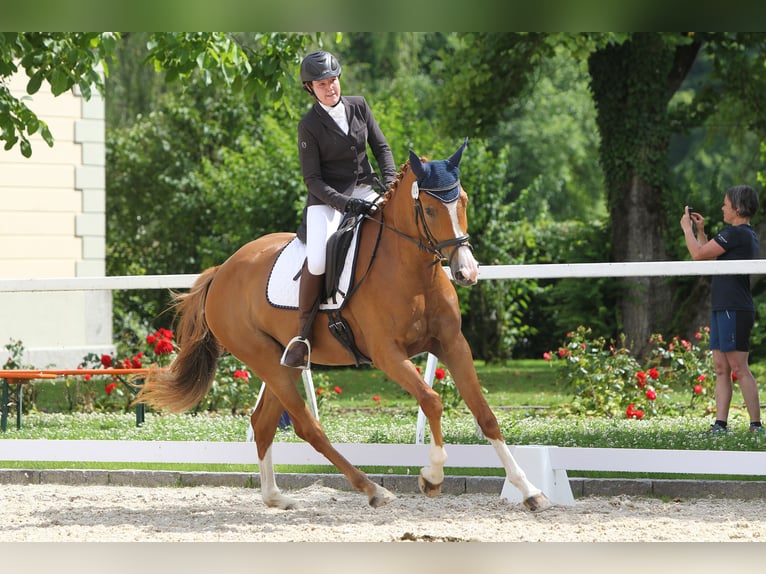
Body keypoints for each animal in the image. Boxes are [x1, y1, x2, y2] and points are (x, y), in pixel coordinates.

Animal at [134, 142, 552, 516]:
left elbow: (485, 414)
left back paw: (277, 498)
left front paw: (530, 490)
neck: (412, 273)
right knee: (306, 427)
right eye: (431, 209)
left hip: (282, 363)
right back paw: (372, 490)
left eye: (462, 201)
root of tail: (222, 271)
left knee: (264, 422)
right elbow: (432, 400)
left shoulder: (452, 343)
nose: (466, 272)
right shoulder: (387, 355)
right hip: (264, 359)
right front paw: (432, 477)